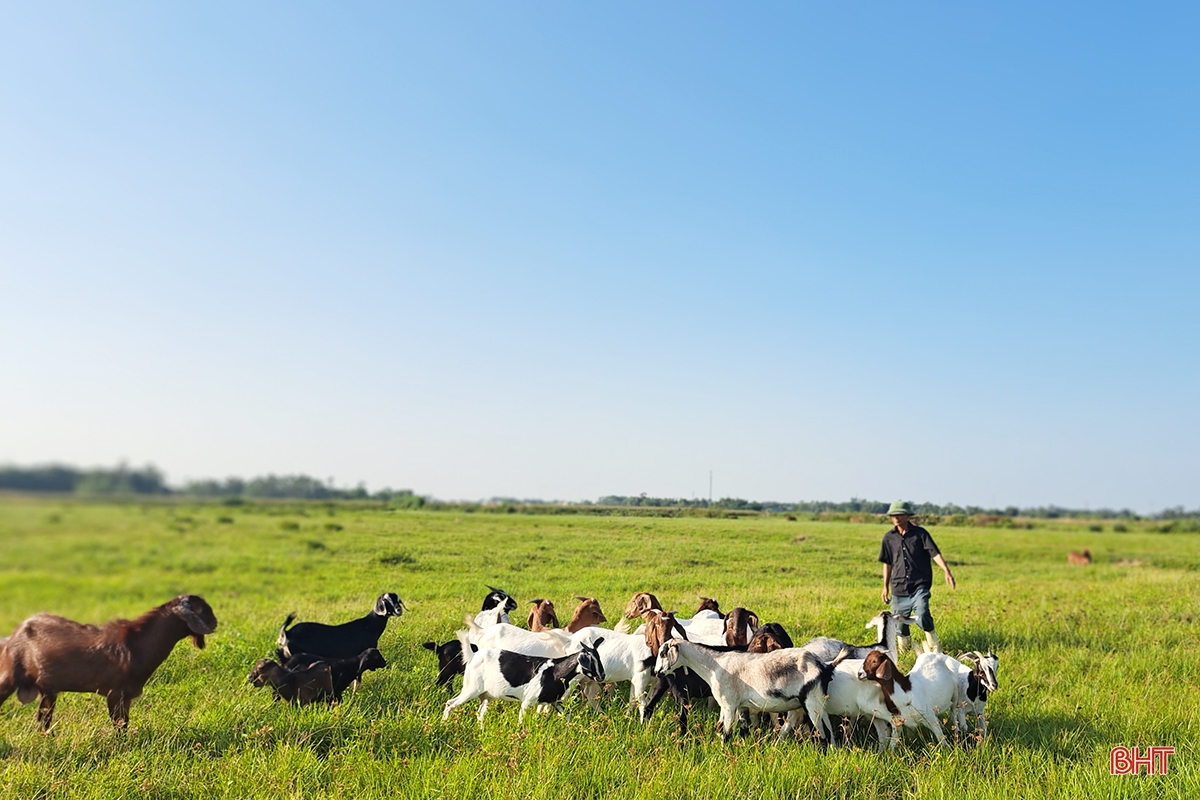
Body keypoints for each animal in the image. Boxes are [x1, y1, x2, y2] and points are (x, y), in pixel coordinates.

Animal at [0, 594, 218, 734]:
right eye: (203, 610)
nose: (215, 623)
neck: (138, 644)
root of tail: (11, 637)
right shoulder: (116, 693)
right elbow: (120, 725)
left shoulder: (126, 696)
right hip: (9, 676)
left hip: (48, 689)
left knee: (44, 717)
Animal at [444, 638, 609, 724]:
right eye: (591, 661)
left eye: (599, 658)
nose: (602, 676)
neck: (554, 672)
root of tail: (473, 656)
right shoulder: (527, 701)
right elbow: (521, 721)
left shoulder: (554, 701)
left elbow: (567, 717)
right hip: (471, 688)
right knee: (450, 703)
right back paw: (444, 723)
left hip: (486, 695)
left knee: (480, 713)